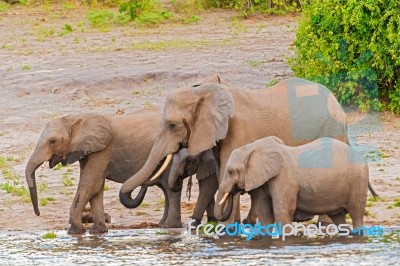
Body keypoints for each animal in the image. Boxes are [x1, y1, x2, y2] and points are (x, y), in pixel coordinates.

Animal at [119, 75, 354, 224]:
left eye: (172, 125)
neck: (203, 92)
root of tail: (339, 106)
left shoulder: (237, 129)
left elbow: (226, 172)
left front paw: (226, 230)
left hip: (331, 129)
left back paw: (323, 224)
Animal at [217, 136, 370, 232]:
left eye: (230, 171)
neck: (254, 148)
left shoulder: (284, 179)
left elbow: (282, 211)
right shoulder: (265, 181)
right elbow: (265, 213)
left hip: (359, 180)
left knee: (356, 213)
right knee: (338, 218)